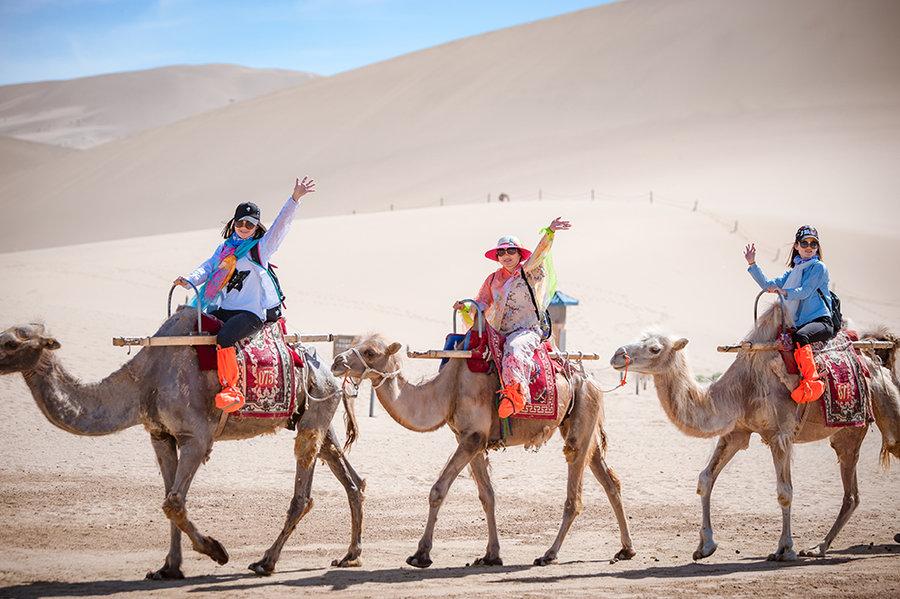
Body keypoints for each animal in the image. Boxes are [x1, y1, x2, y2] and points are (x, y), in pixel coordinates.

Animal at [0, 308, 366, 580]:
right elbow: (168, 498)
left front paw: (217, 551)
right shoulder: (160, 435)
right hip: (318, 411)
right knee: (351, 478)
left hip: (315, 410)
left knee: (303, 493)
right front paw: (168, 568)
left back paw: (265, 562)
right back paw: (350, 555)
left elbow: (174, 503)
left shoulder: (196, 438)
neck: (143, 383)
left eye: (11, 343)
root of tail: (330, 369)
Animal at [330, 336, 632, 568]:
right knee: (609, 480)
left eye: (370, 352)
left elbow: (438, 490)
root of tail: (589, 378)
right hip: (582, 421)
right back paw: (626, 549)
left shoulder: (472, 438)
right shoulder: (471, 440)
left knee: (575, 487)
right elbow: (487, 496)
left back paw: (549, 554)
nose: (336, 362)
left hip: (581, 416)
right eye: (354, 343)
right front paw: (491, 555)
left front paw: (421, 554)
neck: (448, 390)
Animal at [608, 304, 900, 564]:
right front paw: (705, 546)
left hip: (884, 401)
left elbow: (785, 492)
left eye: (654, 348)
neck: (742, 389)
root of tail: (875, 360)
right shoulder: (736, 432)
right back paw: (818, 548)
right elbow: (705, 479)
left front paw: (785, 549)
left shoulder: (780, 434)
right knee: (852, 494)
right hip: (847, 434)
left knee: (886, 450)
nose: (616, 355)